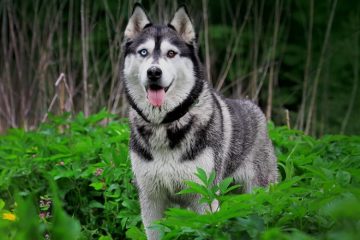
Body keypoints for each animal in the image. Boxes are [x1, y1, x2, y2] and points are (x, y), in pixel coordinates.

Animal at [122, 3, 278, 240]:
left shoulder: (204, 196)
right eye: (143, 52)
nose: (154, 72)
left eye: (171, 53)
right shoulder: (151, 199)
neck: (165, 124)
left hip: (259, 191)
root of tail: (255, 108)